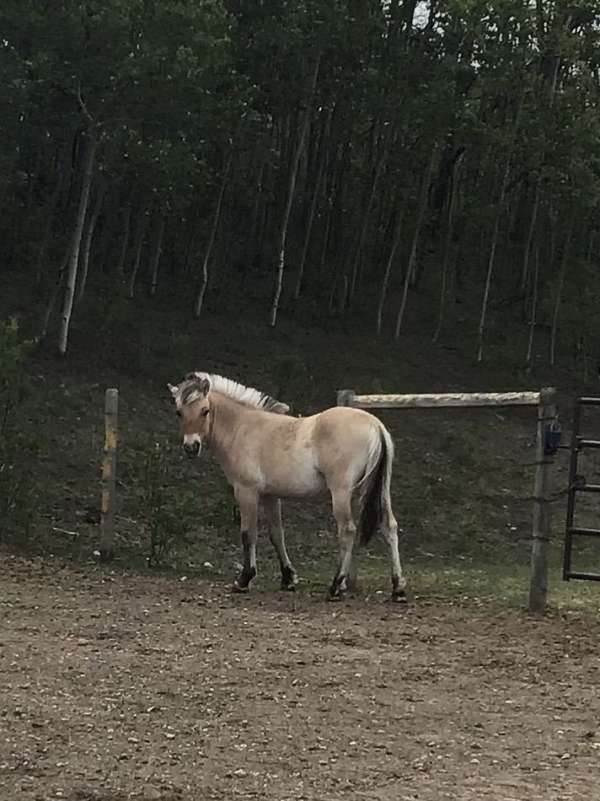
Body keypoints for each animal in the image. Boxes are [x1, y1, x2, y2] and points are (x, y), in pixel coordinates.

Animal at [167, 372, 406, 602]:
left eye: (205, 410)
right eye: (179, 412)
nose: (191, 447)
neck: (243, 428)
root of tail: (376, 425)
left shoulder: (246, 491)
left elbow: (248, 534)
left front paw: (244, 580)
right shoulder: (270, 496)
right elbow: (277, 534)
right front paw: (288, 578)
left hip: (341, 492)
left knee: (347, 530)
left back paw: (335, 587)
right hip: (378, 491)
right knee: (390, 527)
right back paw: (398, 589)